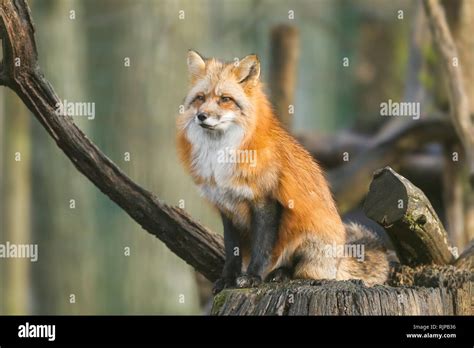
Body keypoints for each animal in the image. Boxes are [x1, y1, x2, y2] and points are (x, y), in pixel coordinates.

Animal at [178, 50, 388, 292]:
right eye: (200, 98)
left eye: (225, 99)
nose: (201, 116)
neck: (222, 155)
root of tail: (339, 258)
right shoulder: (227, 207)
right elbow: (232, 252)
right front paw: (228, 279)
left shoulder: (266, 201)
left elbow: (262, 248)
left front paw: (253, 277)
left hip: (307, 235)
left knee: (299, 269)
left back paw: (281, 274)